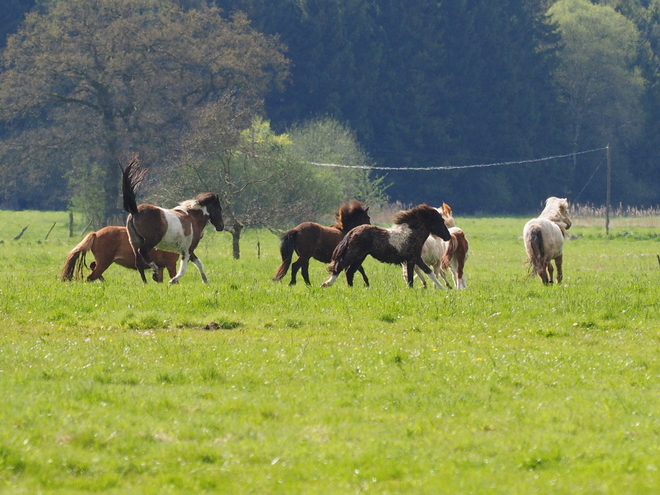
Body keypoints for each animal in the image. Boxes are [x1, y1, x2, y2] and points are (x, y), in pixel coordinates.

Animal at [320, 204, 454, 288]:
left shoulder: (413, 259)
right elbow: (423, 274)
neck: (412, 233)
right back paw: (326, 284)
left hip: (360, 257)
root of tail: (352, 232)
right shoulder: (413, 259)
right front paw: (443, 289)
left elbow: (421, 275)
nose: (448, 237)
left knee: (349, 271)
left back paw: (351, 289)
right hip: (354, 255)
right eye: (440, 221)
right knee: (339, 267)